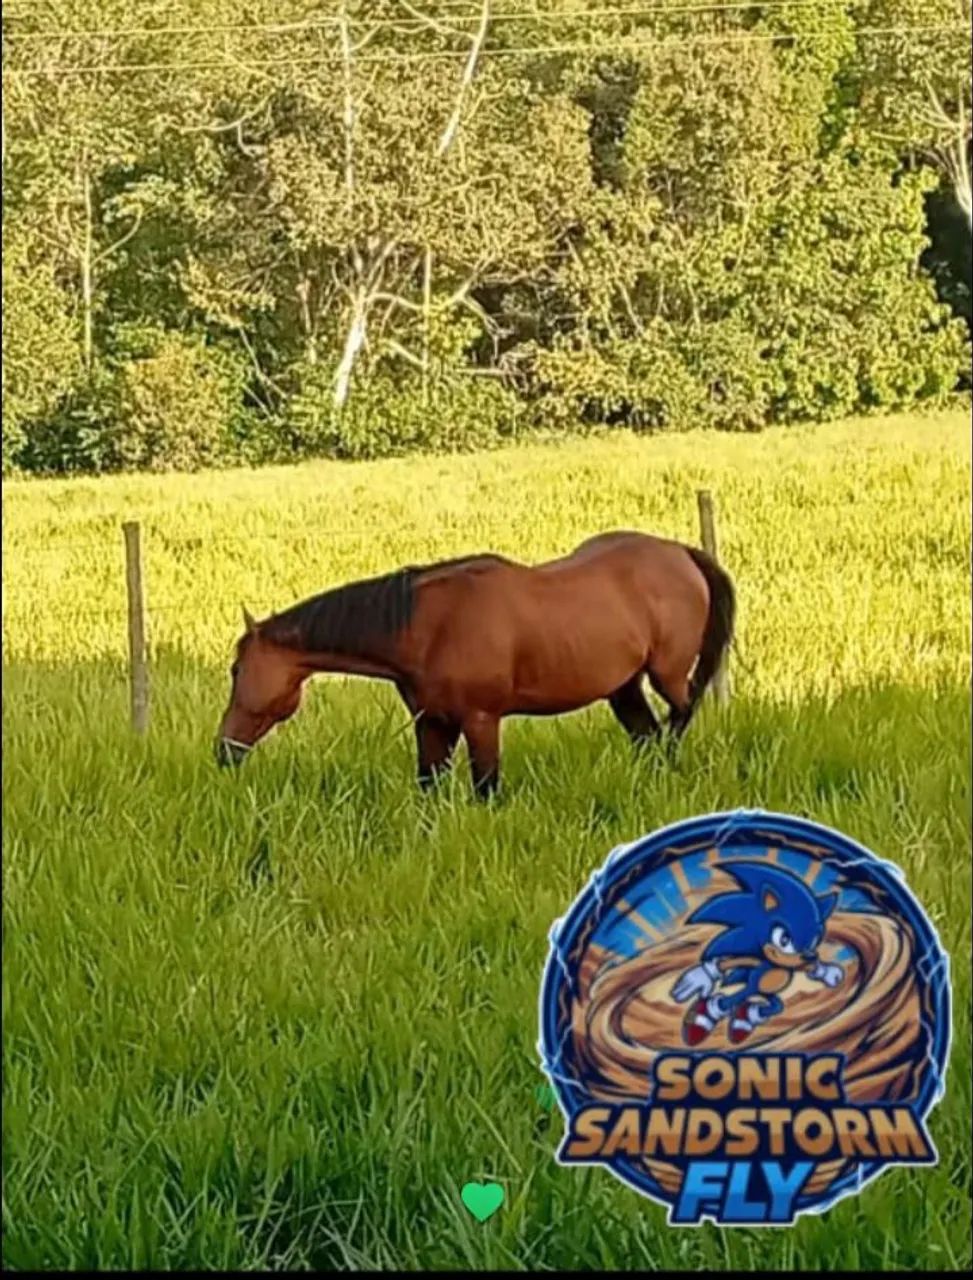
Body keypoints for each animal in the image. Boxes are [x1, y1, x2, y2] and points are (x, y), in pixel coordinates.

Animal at [215, 530, 735, 798]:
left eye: (236, 671)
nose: (223, 750)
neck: (430, 626)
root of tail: (681, 552)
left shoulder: (482, 721)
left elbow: (486, 789)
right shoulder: (432, 724)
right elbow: (428, 788)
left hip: (667, 674)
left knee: (679, 715)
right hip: (622, 688)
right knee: (648, 735)